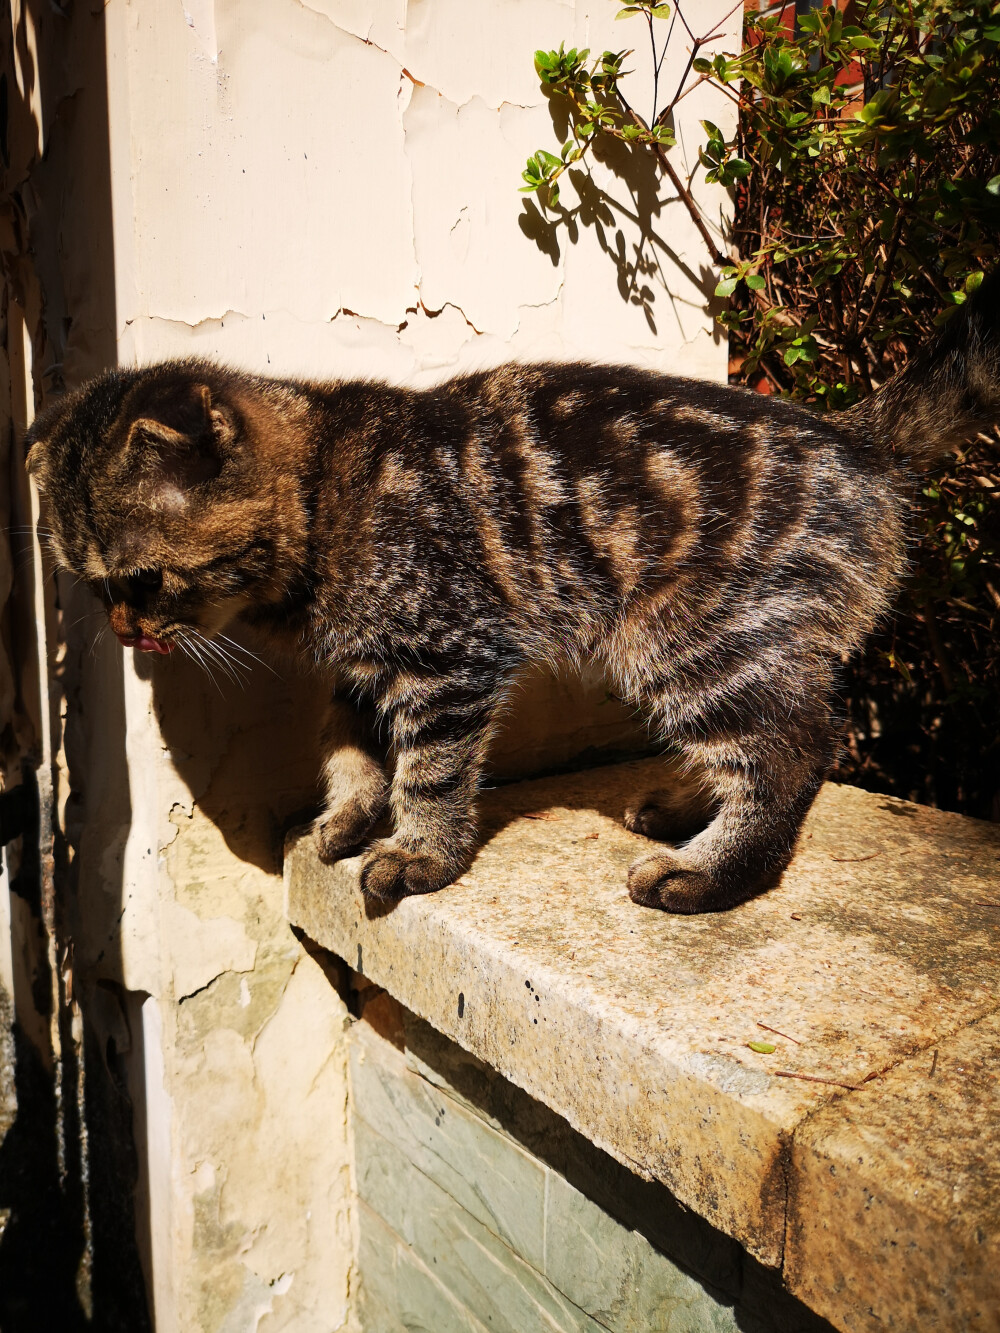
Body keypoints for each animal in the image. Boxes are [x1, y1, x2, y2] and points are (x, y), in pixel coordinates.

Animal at [23, 275, 1000, 911]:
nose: (124, 631)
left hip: (688, 639)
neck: (328, 491)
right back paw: (689, 811)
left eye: (141, 580)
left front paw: (419, 852)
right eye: (90, 588)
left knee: (794, 745)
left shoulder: (449, 654)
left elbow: (429, 768)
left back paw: (711, 871)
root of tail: (853, 437)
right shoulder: (365, 665)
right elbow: (349, 746)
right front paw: (350, 814)